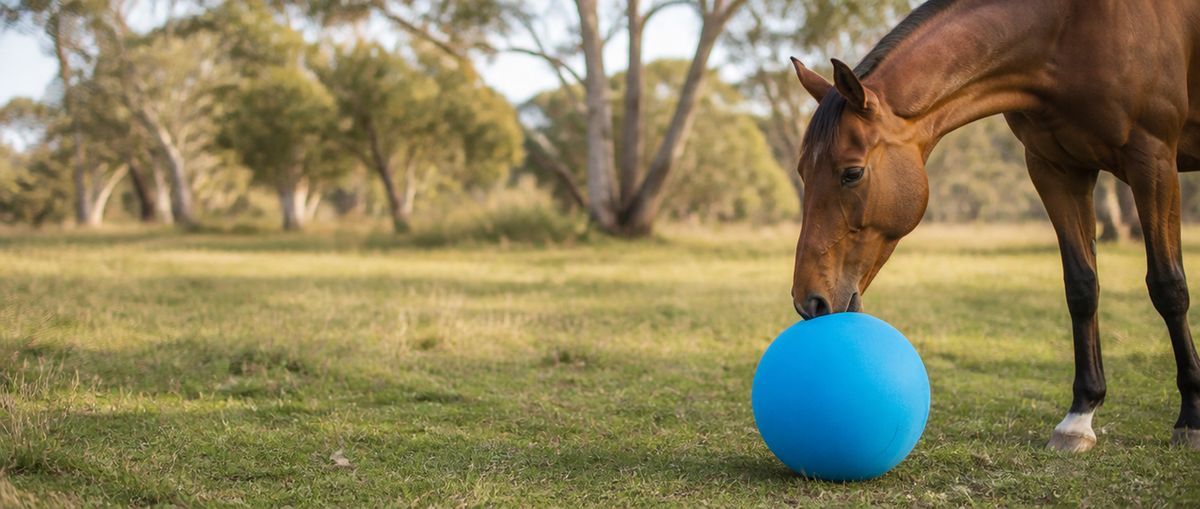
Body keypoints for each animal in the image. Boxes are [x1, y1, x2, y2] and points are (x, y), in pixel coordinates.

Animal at [788, 0, 1200, 452]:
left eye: (852, 173)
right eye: (802, 171)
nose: (809, 302)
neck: (1069, 28)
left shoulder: (1153, 162)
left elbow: (1169, 287)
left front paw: (1191, 417)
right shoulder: (1055, 169)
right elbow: (1082, 287)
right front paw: (1079, 417)